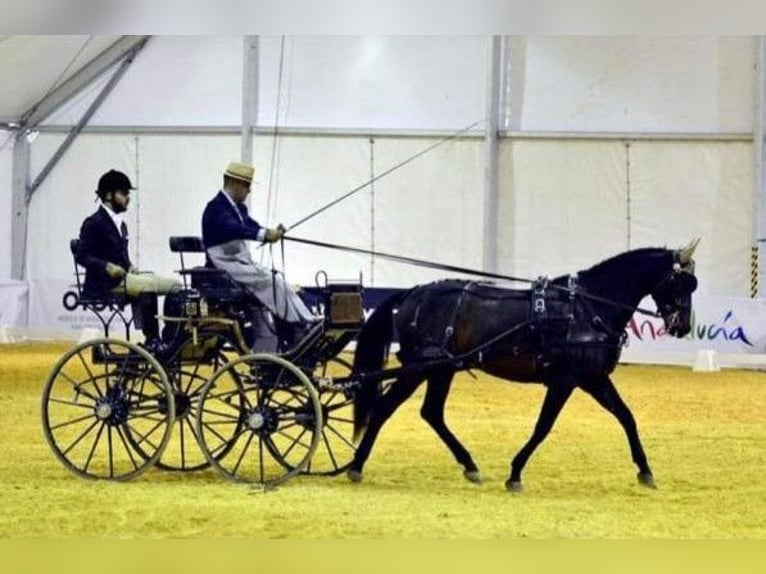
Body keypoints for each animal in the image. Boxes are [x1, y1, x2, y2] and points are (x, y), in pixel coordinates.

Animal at [348, 241, 704, 492]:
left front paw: (645, 471)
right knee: (385, 408)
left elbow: (627, 418)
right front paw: (515, 473)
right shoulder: (565, 380)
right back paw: (355, 465)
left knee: (429, 412)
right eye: (681, 283)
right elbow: (543, 426)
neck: (588, 307)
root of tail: (414, 293)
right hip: (421, 367)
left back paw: (469, 465)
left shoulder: (594, 378)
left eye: (693, 285)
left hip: (442, 369)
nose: (683, 326)